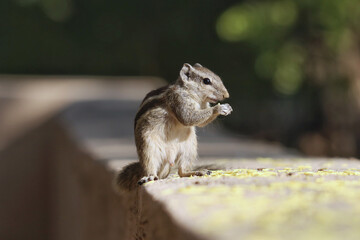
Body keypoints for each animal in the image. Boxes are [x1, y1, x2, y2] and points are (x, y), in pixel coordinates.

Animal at [116, 62, 233, 190]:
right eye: (206, 81)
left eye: (218, 77)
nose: (226, 95)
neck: (195, 97)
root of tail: (169, 160)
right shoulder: (178, 100)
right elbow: (188, 118)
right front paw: (219, 108)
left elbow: (200, 122)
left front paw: (227, 108)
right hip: (148, 148)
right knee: (151, 165)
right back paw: (150, 176)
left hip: (189, 148)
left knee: (181, 172)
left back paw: (197, 172)